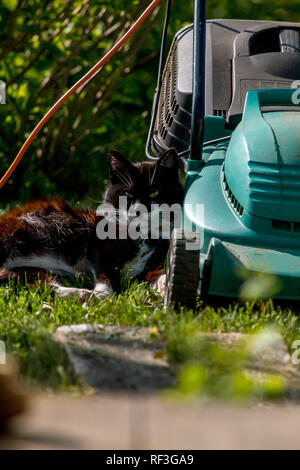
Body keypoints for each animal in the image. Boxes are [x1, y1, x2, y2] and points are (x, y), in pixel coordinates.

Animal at [0, 149, 184, 300]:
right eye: (127, 194)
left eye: (154, 193)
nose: (139, 210)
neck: (142, 234)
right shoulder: (100, 245)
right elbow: (107, 271)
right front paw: (103, 294)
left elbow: (154, 272)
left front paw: (165, 283)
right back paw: (90, 296)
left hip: (28, 269)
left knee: (38, 283)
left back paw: (81, 294)